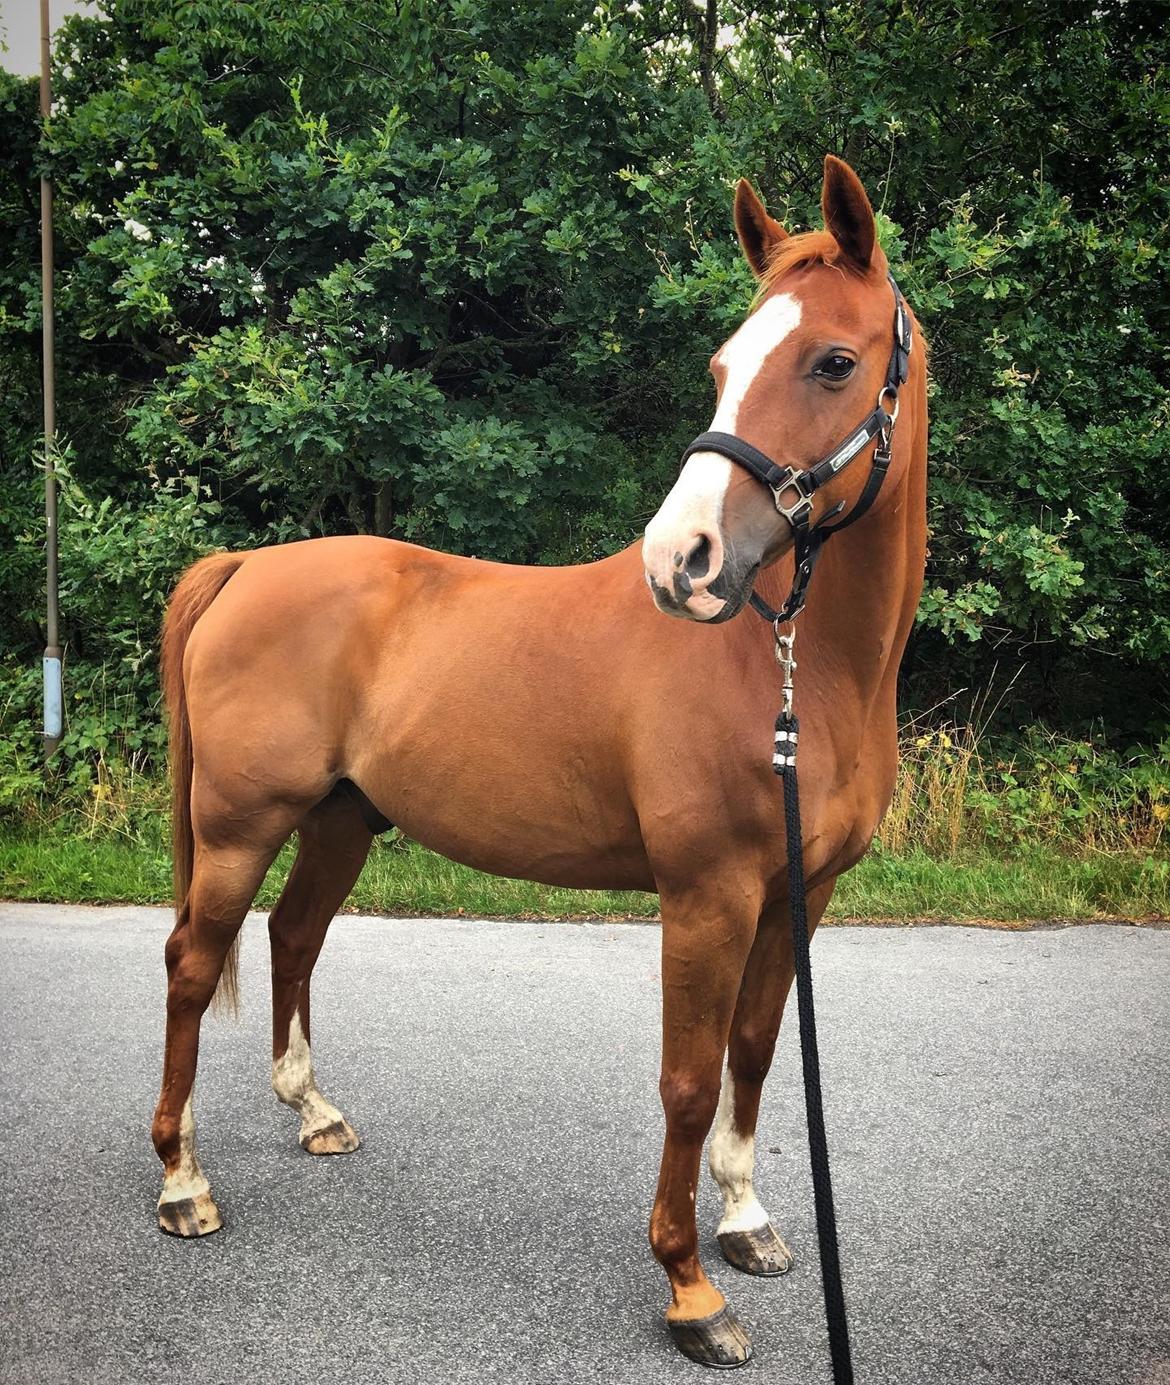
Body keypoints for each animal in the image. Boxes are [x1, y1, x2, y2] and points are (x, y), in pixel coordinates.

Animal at [153, 157, 919, 1368]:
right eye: (722, 365)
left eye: (833, 361)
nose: (682, 560)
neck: (794, 667)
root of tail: (247, 566)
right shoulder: (706, 896)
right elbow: (688, 1079)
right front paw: (690, 1288)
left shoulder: (802, 891)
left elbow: (753, 1051)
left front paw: (747, 1219)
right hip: (239, 825)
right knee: (192, 963)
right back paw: (183, 1182)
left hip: (338, 818)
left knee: (293, 936)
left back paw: (315, 1113)